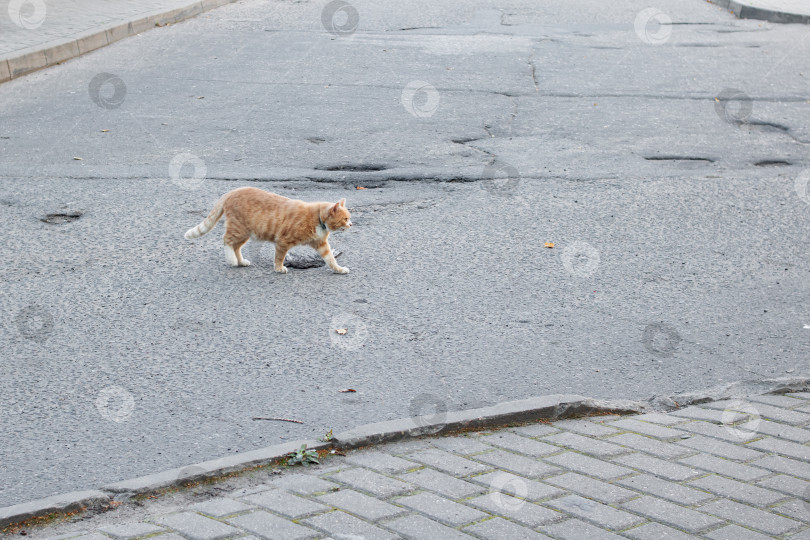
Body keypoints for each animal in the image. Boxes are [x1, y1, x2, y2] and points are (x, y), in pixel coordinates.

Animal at [186, 189, 350, 274]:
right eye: (345, 219)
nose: (351, 224)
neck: (318, 219)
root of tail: (233, 191)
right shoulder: (283, 241)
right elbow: (279, 257)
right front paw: (279, 268)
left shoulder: (321, 244)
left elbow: (330, 259)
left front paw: (339, 269)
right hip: (238, 229)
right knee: (226, 240)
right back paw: (232, 260)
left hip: (245, 233)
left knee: (236, 246)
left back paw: (240, 262)